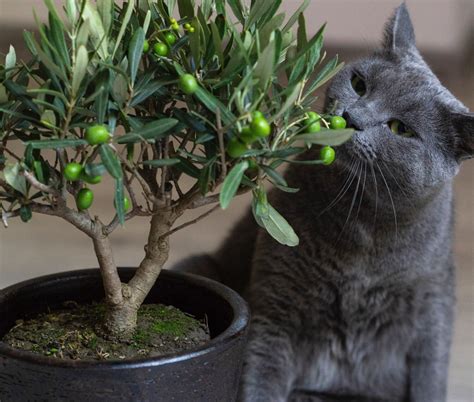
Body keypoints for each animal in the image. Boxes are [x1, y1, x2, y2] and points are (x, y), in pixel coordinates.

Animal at [175, 3, 474, 402]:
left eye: (401, 129)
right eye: (360, 84)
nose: (352, 117)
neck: (364, 224)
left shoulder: (432, 312)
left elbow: (429, 381)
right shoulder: (275, 308)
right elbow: (260, 380)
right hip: (201, 264)